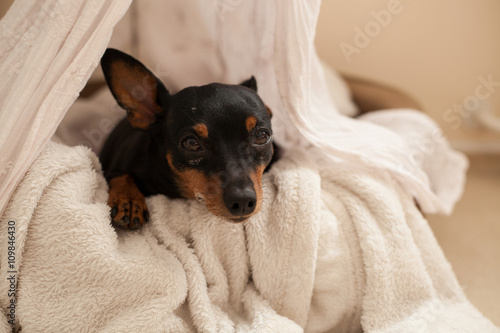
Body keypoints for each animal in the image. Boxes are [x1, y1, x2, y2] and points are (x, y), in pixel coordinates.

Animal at [97, 48, 278, 228]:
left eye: (262, 136)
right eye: (191, 143)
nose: (242, 201)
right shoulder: (115, 166)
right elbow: (122, 176)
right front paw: (128, 201)